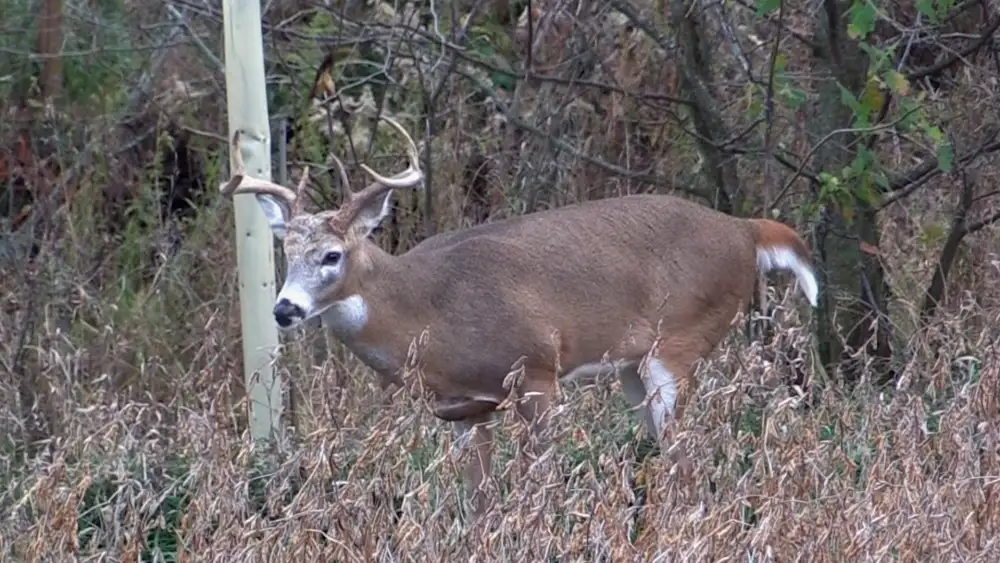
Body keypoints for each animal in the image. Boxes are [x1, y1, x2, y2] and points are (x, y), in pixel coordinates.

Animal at [221, 117, 820, 524]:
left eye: (332, 255)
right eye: (284, 252)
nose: (284, 309)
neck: (425, 313)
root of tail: (746, 231)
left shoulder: (536, 369)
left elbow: (539, 485)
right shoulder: (462, 408)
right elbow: (480, 499)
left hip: (677, 343)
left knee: (687, 457)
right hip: (633, 367)